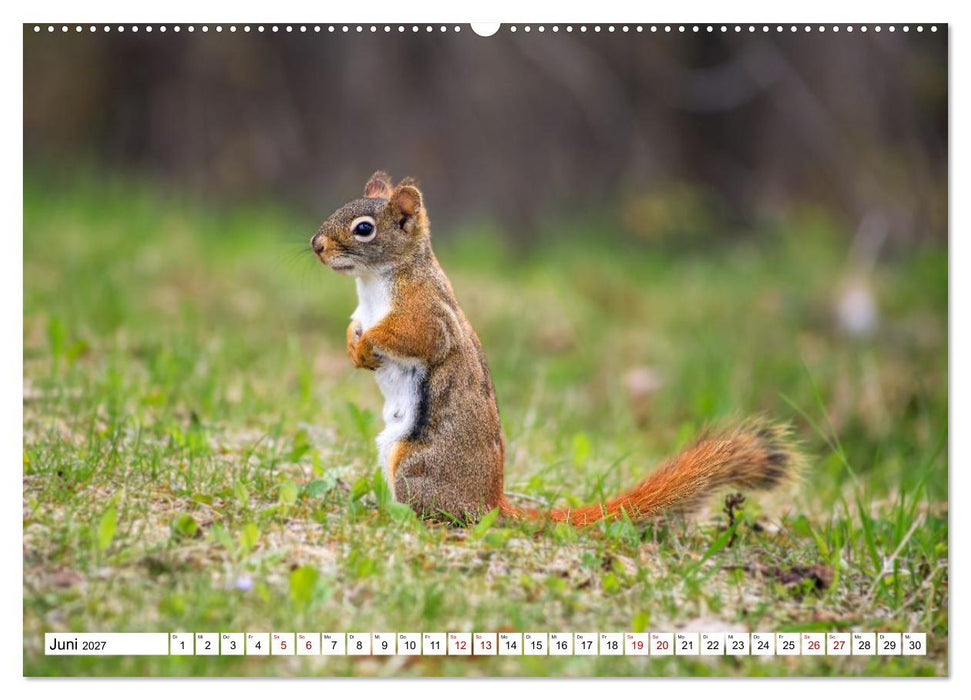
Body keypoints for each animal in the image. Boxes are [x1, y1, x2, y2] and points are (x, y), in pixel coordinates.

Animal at [311, 171, 802, 525]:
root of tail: (489, 503)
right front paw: (354, 347)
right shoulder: (364, 310)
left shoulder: (429, 315)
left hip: (416, 467)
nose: (316, 246)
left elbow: (413, 338)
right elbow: (356, 326)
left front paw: (369, 345)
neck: (374, 284)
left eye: (364, 229)